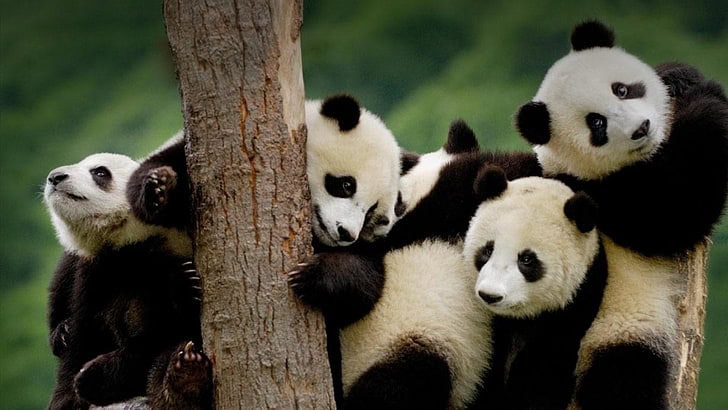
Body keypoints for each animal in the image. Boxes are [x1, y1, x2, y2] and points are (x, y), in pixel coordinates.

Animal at [44, 152, 211, 409]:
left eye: (100, 172)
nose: (55, 177)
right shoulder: (95, 273)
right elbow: (85, 334)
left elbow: (159, 335)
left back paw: (185, 377)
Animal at [463, 168, 607, 409]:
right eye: (487, 250)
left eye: (527, 260)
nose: (490, 295)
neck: (521, 318)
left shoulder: (576, 304)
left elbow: (544, 372)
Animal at [514, 20, 728, 408]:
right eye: (596, 124)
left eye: (622, 89)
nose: (641, 128)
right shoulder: (601, 196)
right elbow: (676, 211)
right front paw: (708, 96)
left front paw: (679, 77)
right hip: (617, 330)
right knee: (622, 380)